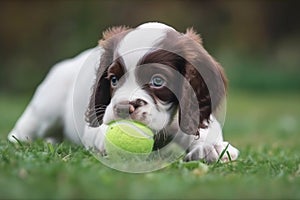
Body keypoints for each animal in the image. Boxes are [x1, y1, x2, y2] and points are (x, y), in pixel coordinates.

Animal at [7, 21, 239, 163]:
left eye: (158, 81)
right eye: (113, 79)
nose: (123, 108)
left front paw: (212, 147)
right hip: (47, 107)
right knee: (26, 127)